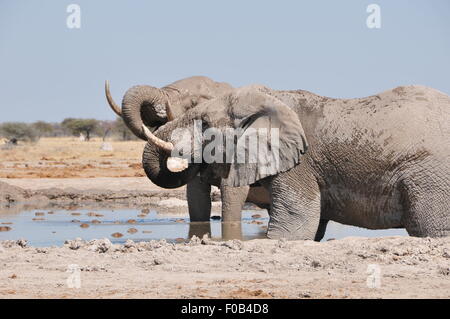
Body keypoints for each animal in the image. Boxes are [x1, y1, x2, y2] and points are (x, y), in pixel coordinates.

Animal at [139, 83, 448, 240]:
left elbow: (295, 224)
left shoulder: (300, 164)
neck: (268, 99)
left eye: (204, 123)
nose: (158, 110)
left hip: (429, 177)